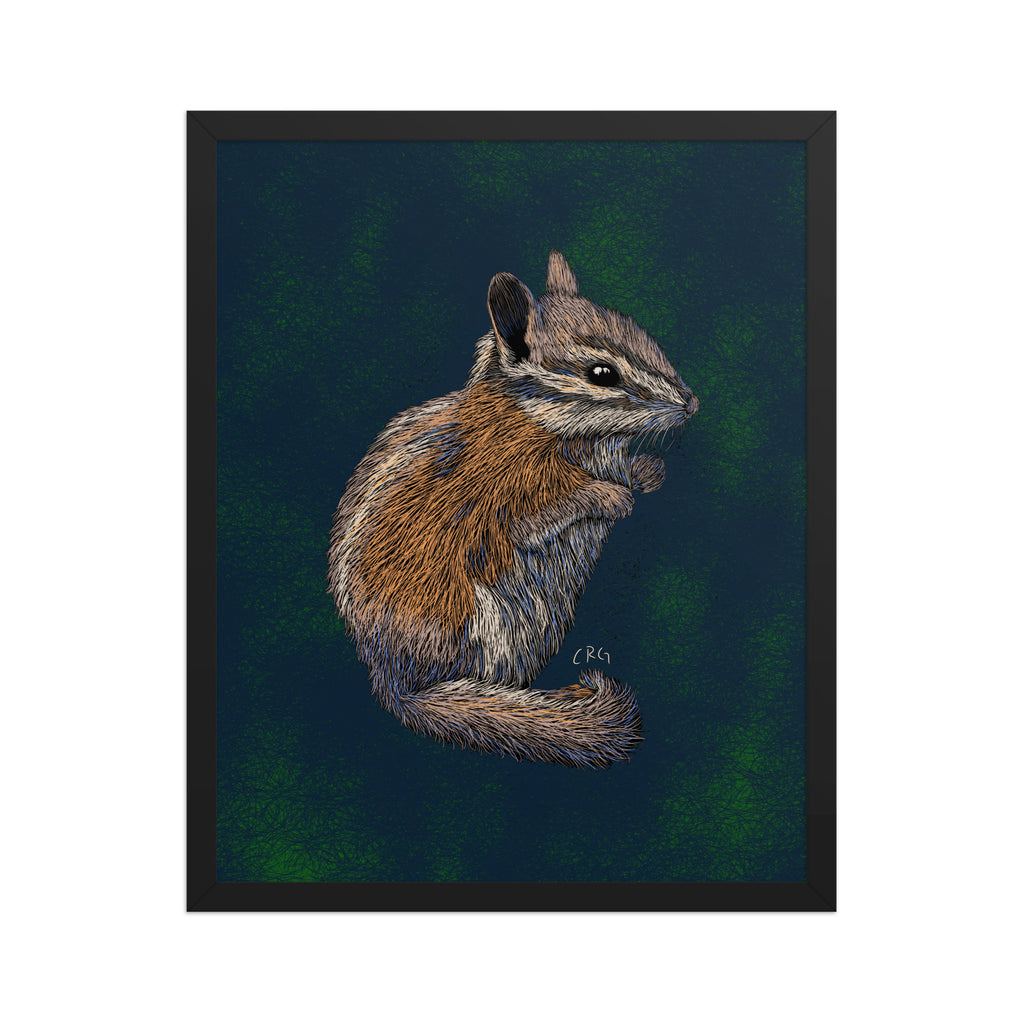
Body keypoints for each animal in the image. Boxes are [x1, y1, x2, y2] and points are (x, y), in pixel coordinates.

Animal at [327, 251, 698, 769]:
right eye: (602, 373)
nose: (692, 403)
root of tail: (396, 681)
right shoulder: (507, 497)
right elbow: (541, 516)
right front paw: (611, 496)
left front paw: (647, 472)